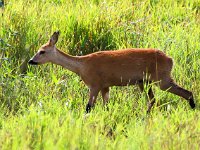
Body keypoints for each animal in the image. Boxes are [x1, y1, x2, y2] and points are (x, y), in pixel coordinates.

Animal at [28, 31, 195, 113]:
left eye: (42, 51)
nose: (31, 61)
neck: (82, 65)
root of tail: (170, 59)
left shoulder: (94, 85)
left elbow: (88, 107)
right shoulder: (105, 86)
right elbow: (106, 106)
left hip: (162, 80)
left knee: (187, 92)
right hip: (145, 82)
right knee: (153, 100)